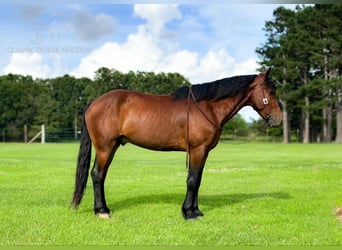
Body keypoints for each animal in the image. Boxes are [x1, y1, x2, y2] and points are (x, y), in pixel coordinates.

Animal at [71, 68, 282, 219]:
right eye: (271, 91)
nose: (279, 119)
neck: (207, 107)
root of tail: (93, 103)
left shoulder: (203, 152)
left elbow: (197, 180)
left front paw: (195, 210)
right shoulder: (197, 150)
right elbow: (192, 180)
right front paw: (189, 213)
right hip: (105, 148)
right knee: (97, 175)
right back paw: (102, 211)